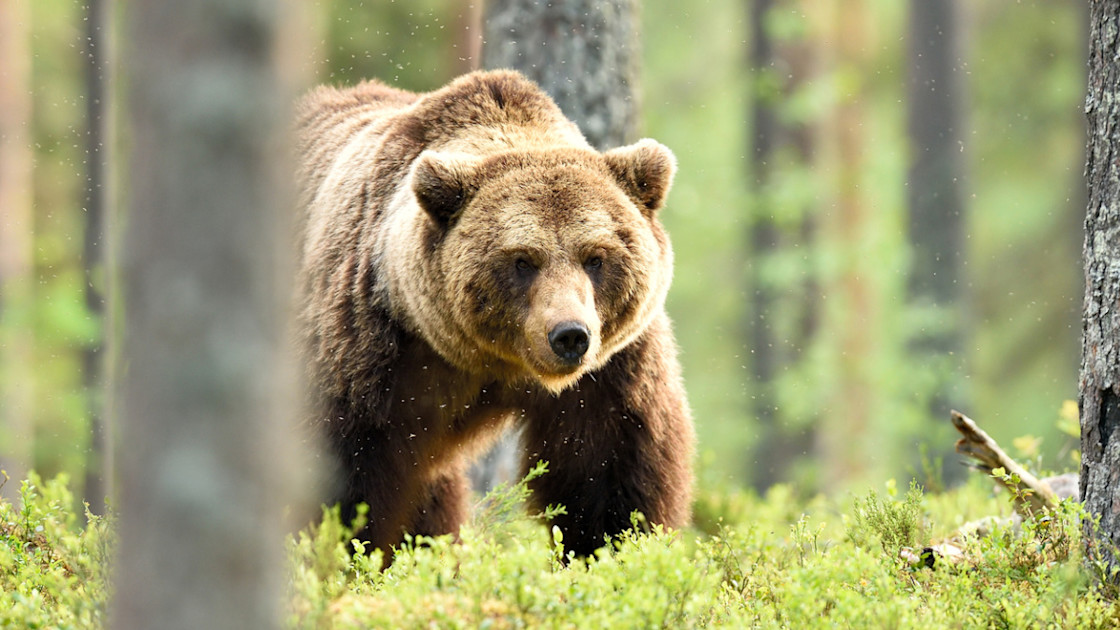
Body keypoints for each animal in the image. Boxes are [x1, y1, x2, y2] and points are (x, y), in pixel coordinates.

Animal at [295, 70, 694, 563]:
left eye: (595, 257)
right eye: (523, 260)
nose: (569, 335)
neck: (492, 363)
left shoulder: (612, 369)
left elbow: (609, 473)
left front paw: (614, 554)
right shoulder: (369, 348)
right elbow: (346, 483)